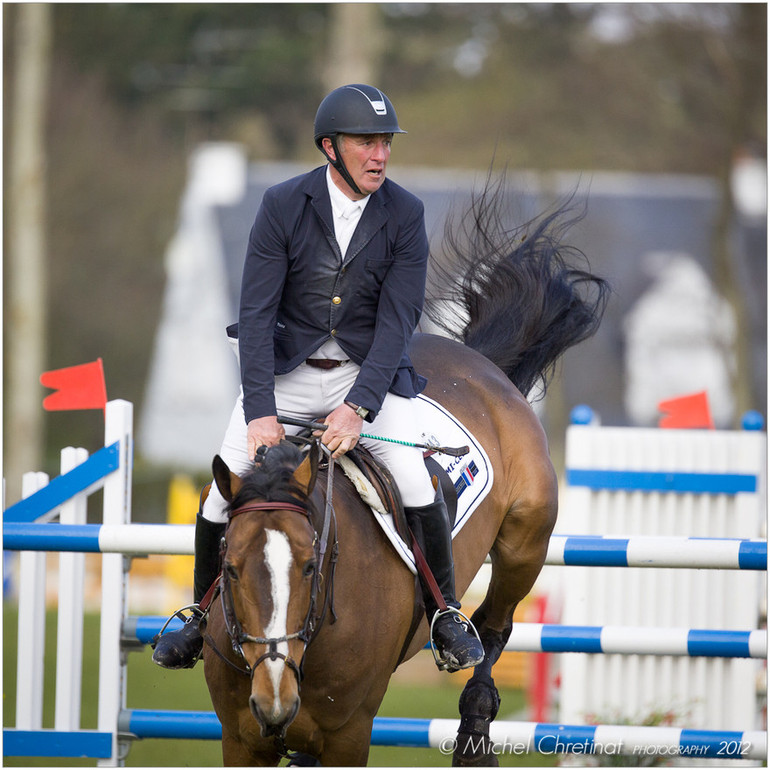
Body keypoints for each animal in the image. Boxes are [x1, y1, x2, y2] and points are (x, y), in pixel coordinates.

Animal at [201, 177, 608, 764]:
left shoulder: (348, 735)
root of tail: (482, 363)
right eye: (228, 567)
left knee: (495, 625)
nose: (274, 699)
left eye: (310, 566)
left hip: (524, 544)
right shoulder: (242, 738)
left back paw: (474, 723)